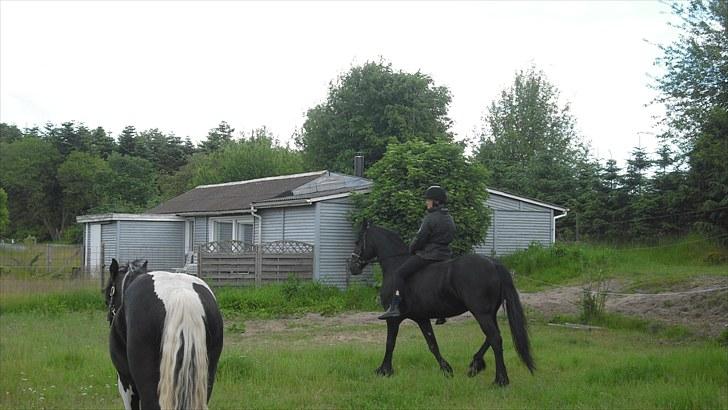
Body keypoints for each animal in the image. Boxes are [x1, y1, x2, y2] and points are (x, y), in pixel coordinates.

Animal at [348, 221, 536, 384]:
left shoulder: (393, 319)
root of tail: (493, 263)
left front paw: (384, 370)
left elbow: (390, 343)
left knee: (495, 339)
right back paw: (475, 365)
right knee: (491, 337)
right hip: (489, 313)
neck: (395, 264)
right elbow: (432, 344)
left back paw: (500, 380)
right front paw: (446, 369)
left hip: (481, 313)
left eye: (357, 241)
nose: (352, 266)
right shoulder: (422, 318)